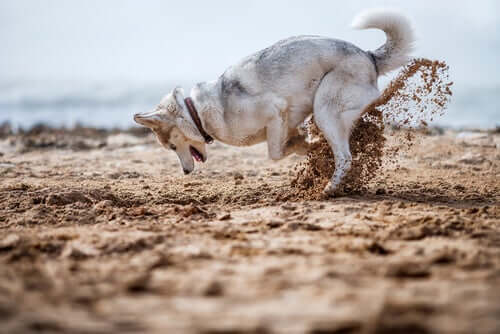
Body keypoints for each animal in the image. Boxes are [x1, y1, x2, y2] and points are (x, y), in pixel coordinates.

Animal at [133, 9, 414, 196]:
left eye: (172, 146)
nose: (185, 173)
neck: (198, 113)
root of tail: (369, 56)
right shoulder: (285, 121)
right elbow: (288, 145)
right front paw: (304, 144)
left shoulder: (275, 110)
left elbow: (275, 153)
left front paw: (307, 146)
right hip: (327, 111)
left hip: (324, 109)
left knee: (345, 157)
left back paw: (329, 188)